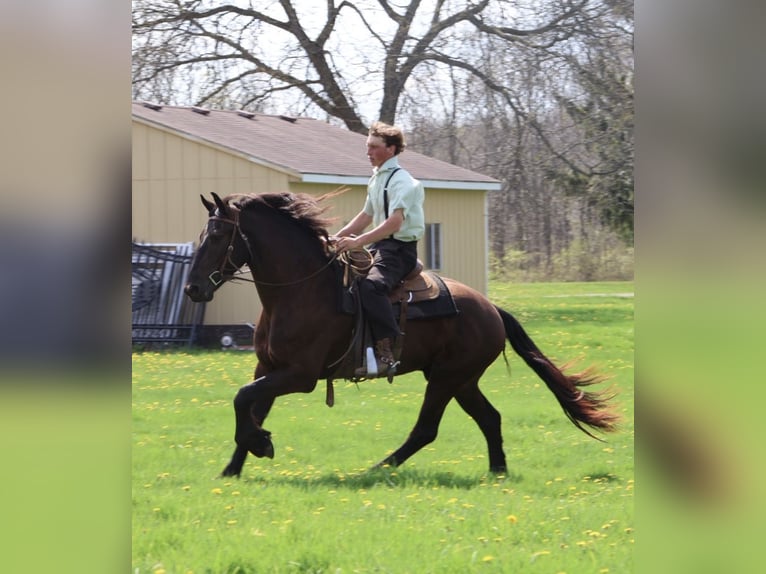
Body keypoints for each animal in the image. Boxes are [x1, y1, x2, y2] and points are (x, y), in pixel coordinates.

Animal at [184, 191, 619, 477]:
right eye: (201, 235)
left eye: (219, 237)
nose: (193, 289)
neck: (300, 290)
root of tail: (492, 309)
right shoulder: (268, 368)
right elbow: (249, 405)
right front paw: (234, 466)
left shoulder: (300, 376)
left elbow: (243, 399)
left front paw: (260, 444)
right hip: (461, 380)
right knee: (490, 418)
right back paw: (497, 471)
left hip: (446, 379)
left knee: (427, 429)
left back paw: (377, 469)